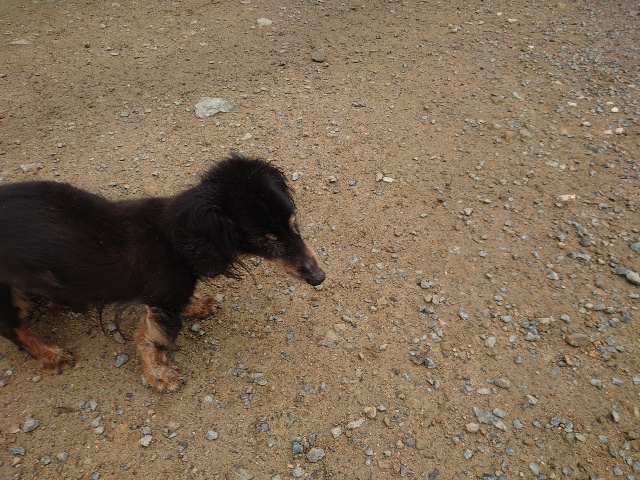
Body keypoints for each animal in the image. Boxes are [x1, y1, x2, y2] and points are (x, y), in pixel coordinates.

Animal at [0, 154, 325, 391]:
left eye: (293, 222)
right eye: (265, 240)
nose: (318, 277)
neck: (178, 239)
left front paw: (196, 306)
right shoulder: (162, 301)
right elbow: (151, 338)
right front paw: (159, 374)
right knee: (14, 329)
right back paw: (49, 355)